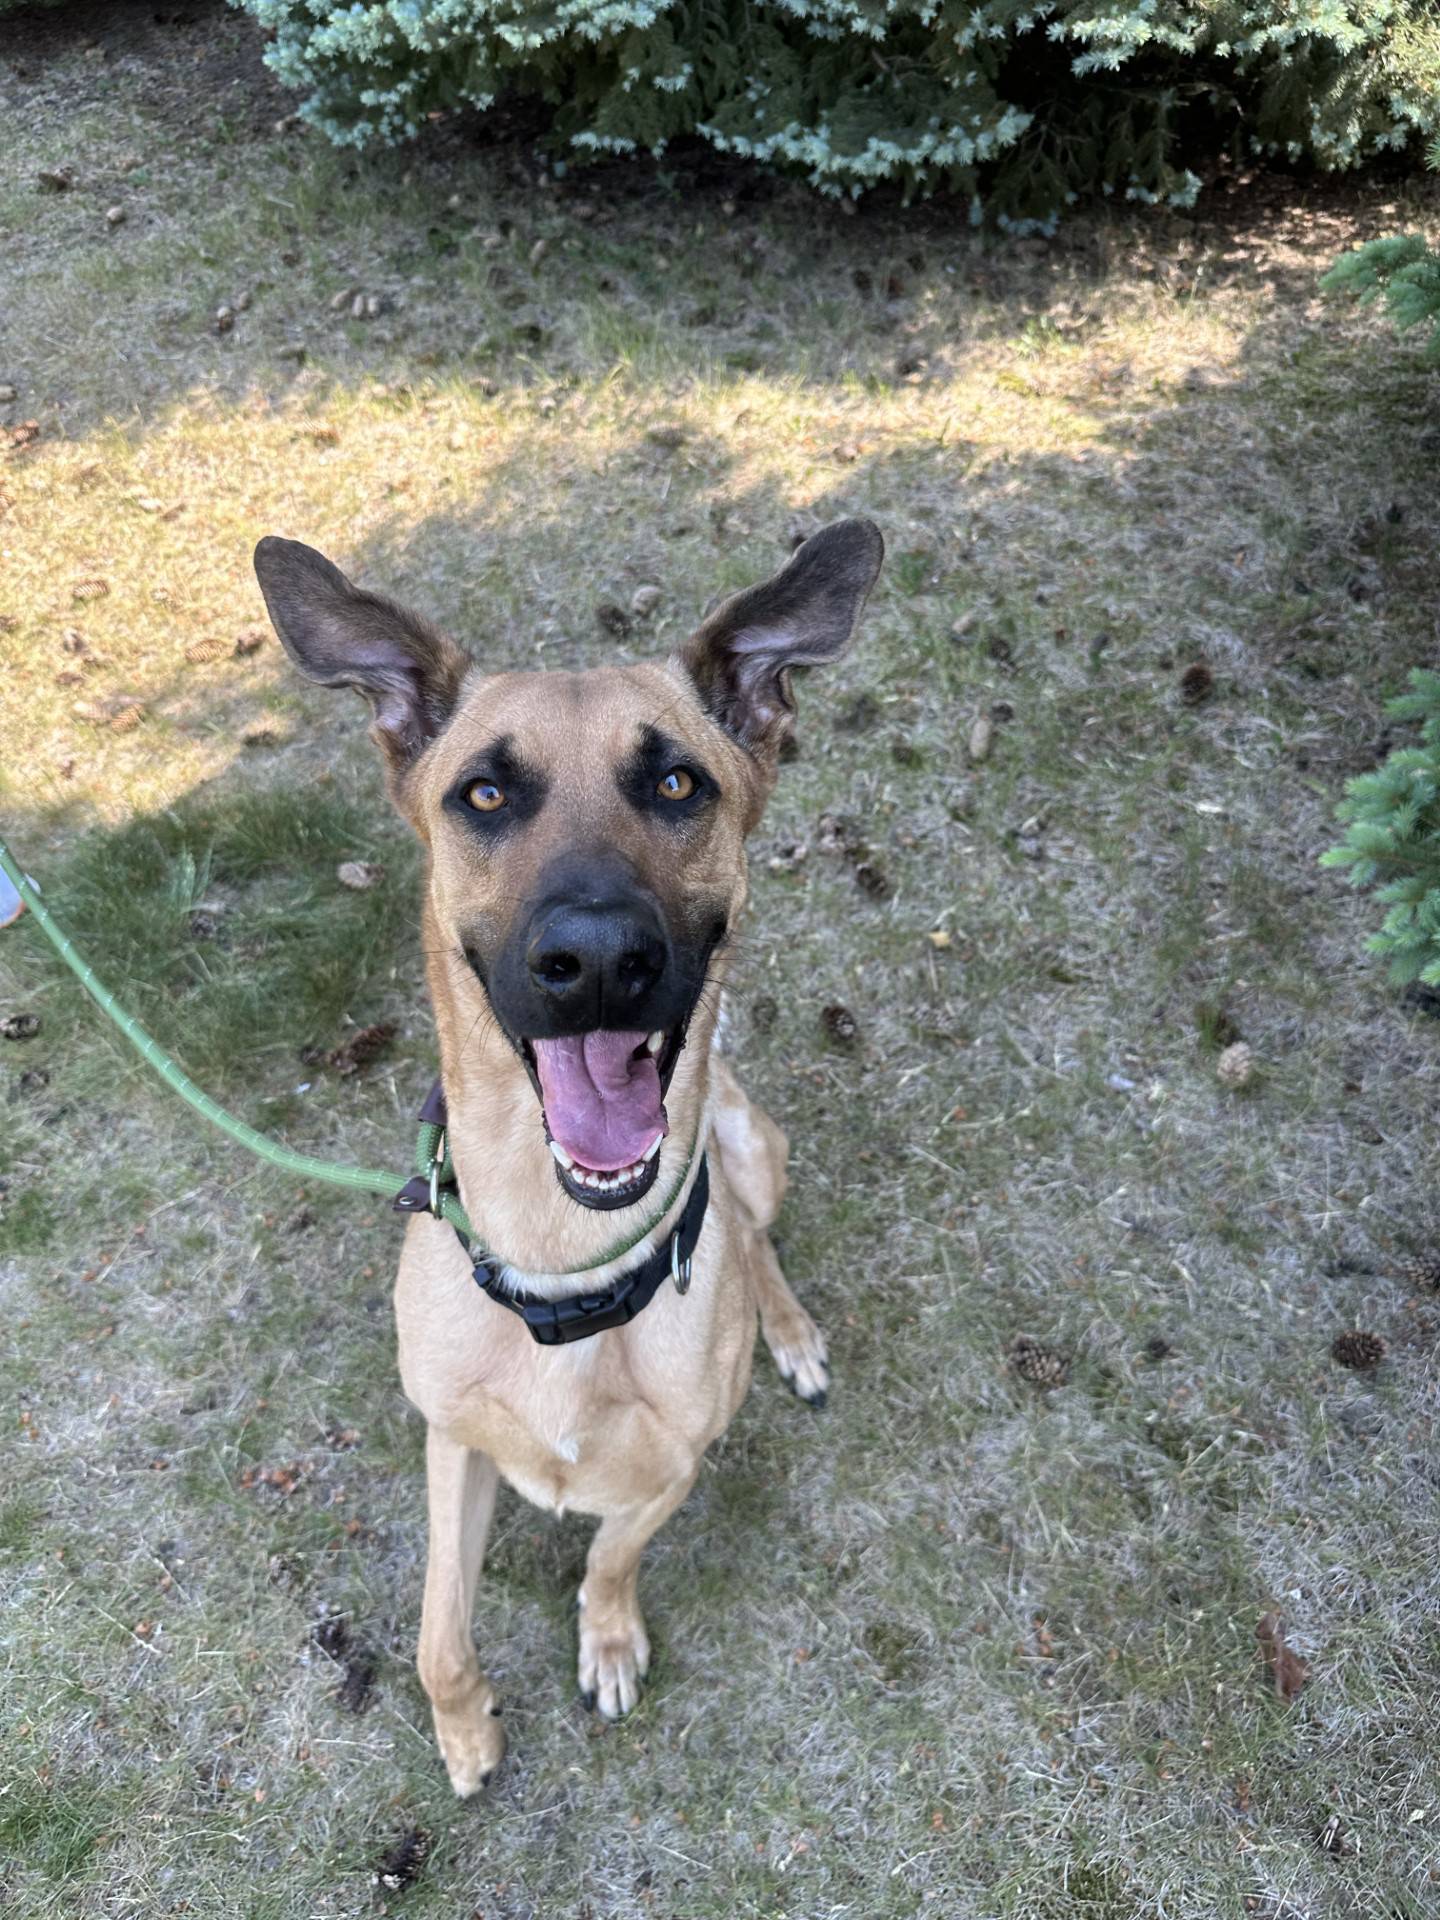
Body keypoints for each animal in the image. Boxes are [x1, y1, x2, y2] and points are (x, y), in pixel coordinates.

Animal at [257, 518, 887, 1789]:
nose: (597, 961)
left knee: (751, 1231)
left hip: (754, 1140)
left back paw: (789, 1333)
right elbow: (436, 1634)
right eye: (486, 792)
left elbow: (610, 1556)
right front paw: (465, 1729)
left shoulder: (673, 1473)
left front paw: (605, 1639)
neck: (564, 1268)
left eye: (678, 782)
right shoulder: (450, 1442)